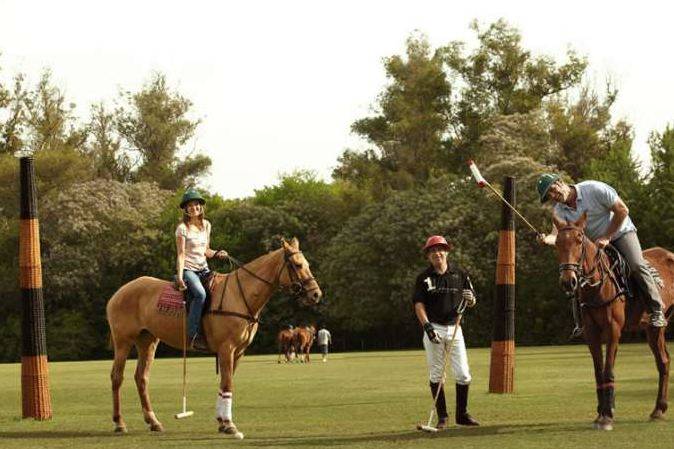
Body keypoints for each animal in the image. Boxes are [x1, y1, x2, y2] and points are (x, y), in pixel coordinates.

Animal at [106, 240, 322, 436]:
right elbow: (227, 384)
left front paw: (221, 422)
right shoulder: (227, 348)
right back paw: (119, 423)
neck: (241, 295)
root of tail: (117, 293)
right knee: (117, 376)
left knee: (141, 377)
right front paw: (229, 424)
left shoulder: (239, 352)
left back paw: (153, 421)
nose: (316, 294)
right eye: (297, 265)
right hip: (123, 340)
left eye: (307, 264)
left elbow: (225, 384)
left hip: (148, 340)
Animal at [552, 214, 668, 430]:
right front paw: (601, 412)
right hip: (652, 330)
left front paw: (607, 415)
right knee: (663, 361)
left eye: (579, 241)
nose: (568, 281)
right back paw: (659, 409)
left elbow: (608, 370)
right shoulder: (591, 332)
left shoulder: (613, 329)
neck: (597, 285)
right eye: (557, 243)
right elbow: (598, 371)